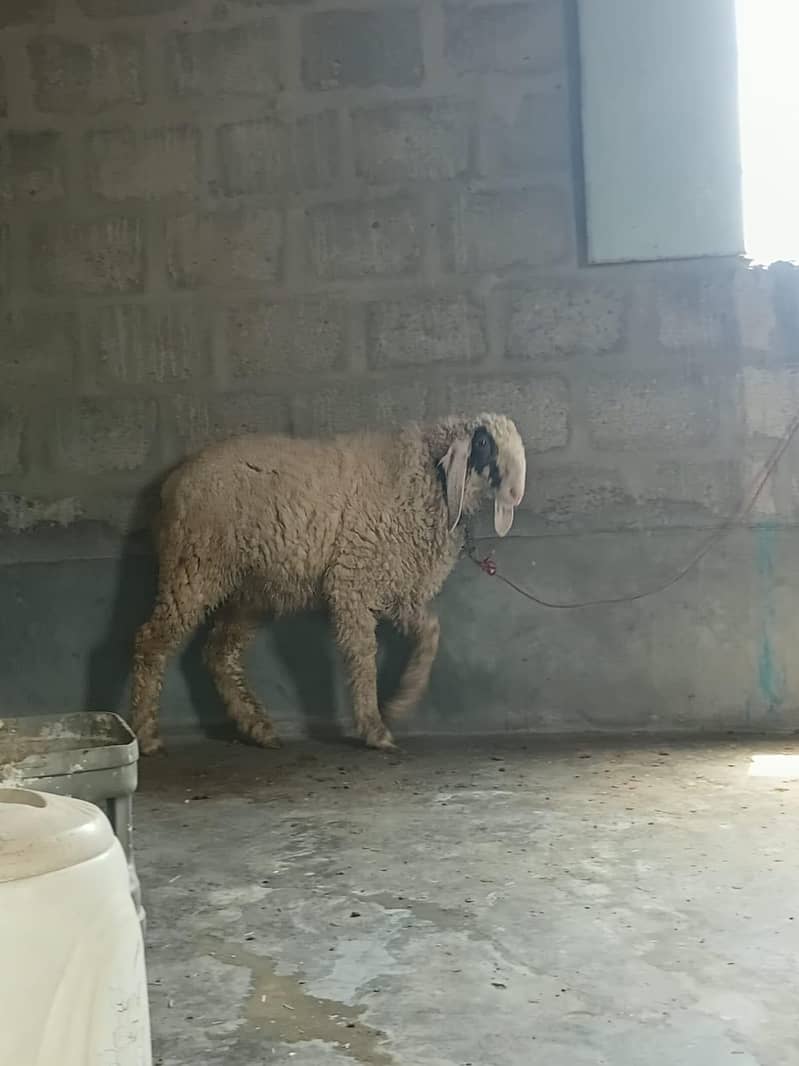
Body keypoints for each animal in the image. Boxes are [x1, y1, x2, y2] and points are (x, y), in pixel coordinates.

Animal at [130, 413, 526, 756]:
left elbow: (430, 633)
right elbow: (363, 655)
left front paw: (403, 699)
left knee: (219, 653)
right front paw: (374, 728)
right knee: (151, 642)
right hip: (194, 566)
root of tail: (172, 484)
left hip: (251, 588)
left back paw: (258, 728)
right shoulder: (354, 580)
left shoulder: (399, 588)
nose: (515, 494)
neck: (422, 477)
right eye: (483, 443)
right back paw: (147, 735)